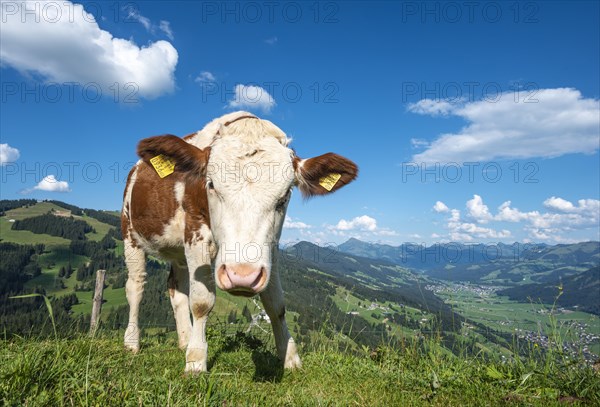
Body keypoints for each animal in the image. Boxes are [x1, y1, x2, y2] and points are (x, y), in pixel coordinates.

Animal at [120, 111, 356, 372]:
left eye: (285, 195)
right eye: (211, 184)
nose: (242, 276)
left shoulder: (270, 248)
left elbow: (276, 304)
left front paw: (290, 357)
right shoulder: (195, 234)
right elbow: (201, 301)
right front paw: (196, 361)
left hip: (178, 253)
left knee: (176, 288)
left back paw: (184, 339)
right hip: (130, 232)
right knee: (136, 287)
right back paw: (132, 342)